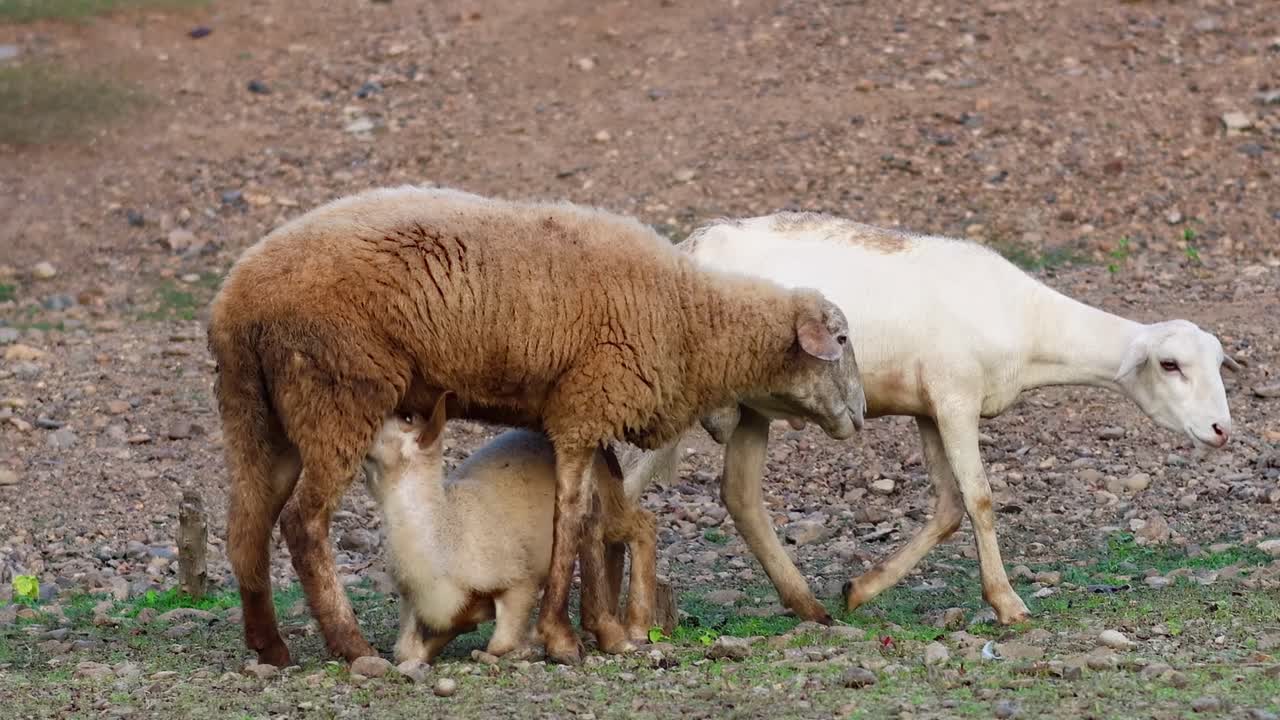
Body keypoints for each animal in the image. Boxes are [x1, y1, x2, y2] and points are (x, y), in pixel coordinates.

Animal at [361, 393, 659, 663]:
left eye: (406, 418)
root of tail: (605, 449)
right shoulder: (417, 605)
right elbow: (406, 652)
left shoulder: (519, 581)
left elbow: (499, 644)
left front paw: (529, 646)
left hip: (608, 502)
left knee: (644, 524)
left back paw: (635, 628)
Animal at [624, 211, 1238, 626]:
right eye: (1170, 364)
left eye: (1217, 363)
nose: (1221, 431)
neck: (1030, 325)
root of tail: (692, 243)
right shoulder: (956, 397)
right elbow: (980, 499)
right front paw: (1008, 603)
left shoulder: (931, 408)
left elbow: (946, 509)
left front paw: (860, 589)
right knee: (629, 487)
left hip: (752, 405)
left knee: (739, 496)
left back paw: (808, 605)